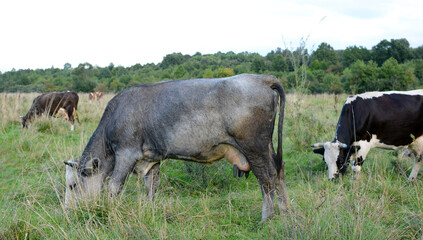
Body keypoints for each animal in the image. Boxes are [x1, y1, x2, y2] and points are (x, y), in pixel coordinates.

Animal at [65, 74, 292, 222]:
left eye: (73, 185)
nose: (68, 211)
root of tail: (260, 78)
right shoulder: (152, 158)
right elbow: (151, 188)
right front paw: (150, 213)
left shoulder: (126, 153)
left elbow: (114, 187)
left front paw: (110, 214)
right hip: (266, 146)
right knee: (278, 172)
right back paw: (285, 213)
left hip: (254, 147)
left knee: (266, 178)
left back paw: (267, 218)